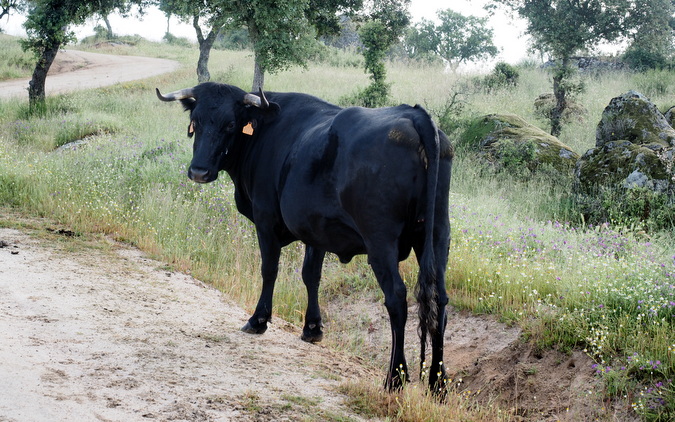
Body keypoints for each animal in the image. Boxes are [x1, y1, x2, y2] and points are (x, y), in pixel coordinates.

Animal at [158, 82, 454, 392]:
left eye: (230, 124)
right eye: (196, 122)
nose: (199, 171)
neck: (265, 128)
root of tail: (414, 115)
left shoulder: (265, 220)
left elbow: (269, 269)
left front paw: (259, 320)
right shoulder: (316, 229)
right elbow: (311, 274)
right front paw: (312, 328)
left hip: (380, 241)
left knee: (396, 298)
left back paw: (396, 378)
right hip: (437, 235)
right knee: (440, 299)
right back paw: (438, 383)